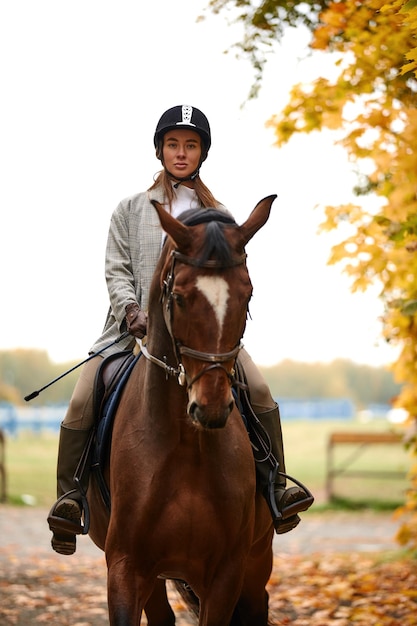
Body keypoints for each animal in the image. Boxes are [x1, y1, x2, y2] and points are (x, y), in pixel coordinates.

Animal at [88, 195, 276, 624]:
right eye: (179, 297)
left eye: (247, 296)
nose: (210, 406)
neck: (187, 448)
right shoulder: (125, 568)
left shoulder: (226, 575)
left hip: (256, 565)